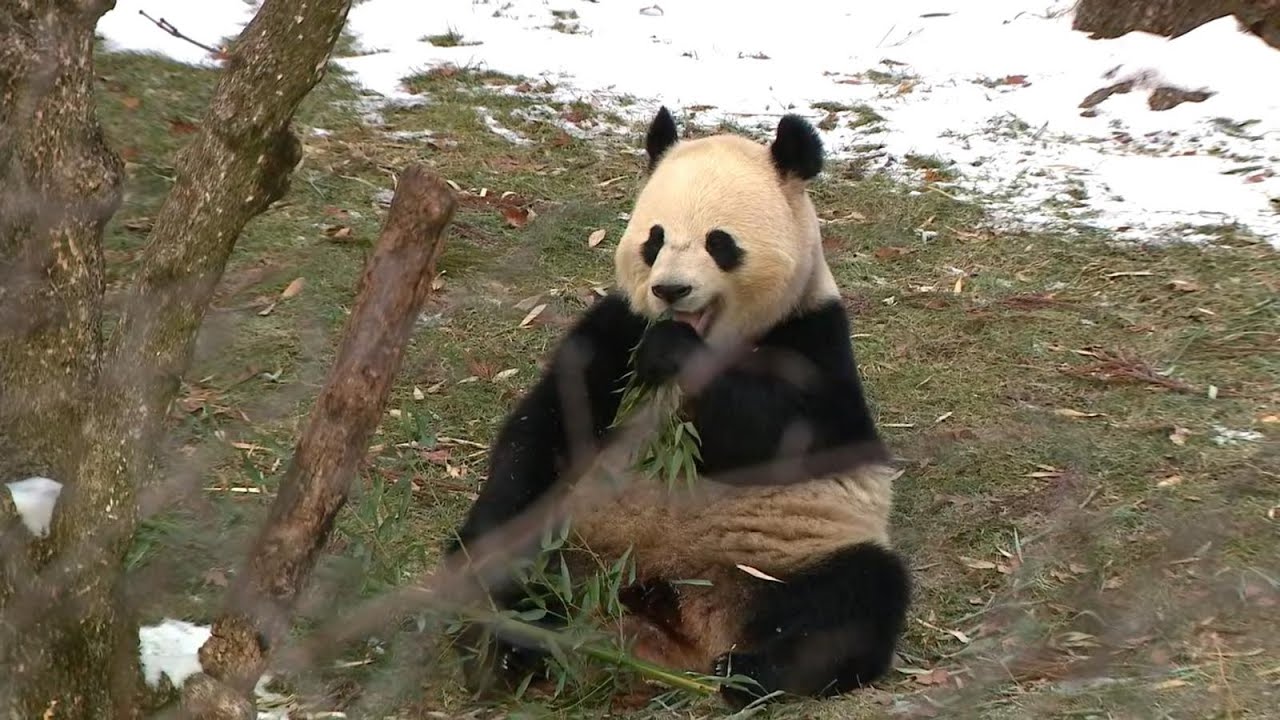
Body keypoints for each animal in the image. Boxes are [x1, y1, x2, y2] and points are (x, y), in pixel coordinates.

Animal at [444, 106, 910, 710]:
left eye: (719, 243)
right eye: (655, 238)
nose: (670, 290)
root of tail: (680, 627)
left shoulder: (816, 338)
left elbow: (786, 433)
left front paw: (677, 357)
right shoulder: (616, 328)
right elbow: (544, 426)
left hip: (791, 556)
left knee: (856, 599)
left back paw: (751, 672)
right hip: (573, 536)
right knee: (513, 569)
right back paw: (509, 644)